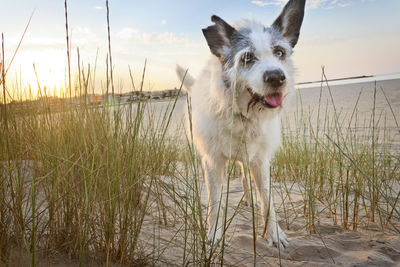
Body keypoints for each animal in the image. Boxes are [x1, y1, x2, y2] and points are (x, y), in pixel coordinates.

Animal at [177, 0, 304, 249]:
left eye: (279, 52)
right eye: (247, 58)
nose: (276, 77)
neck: (241, 115)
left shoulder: (260, 161)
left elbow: (268, 199)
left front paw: (274, 233)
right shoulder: (212, 162)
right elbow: (215, 201)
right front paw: (214, 233)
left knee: (246, 177)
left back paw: (250, 199)